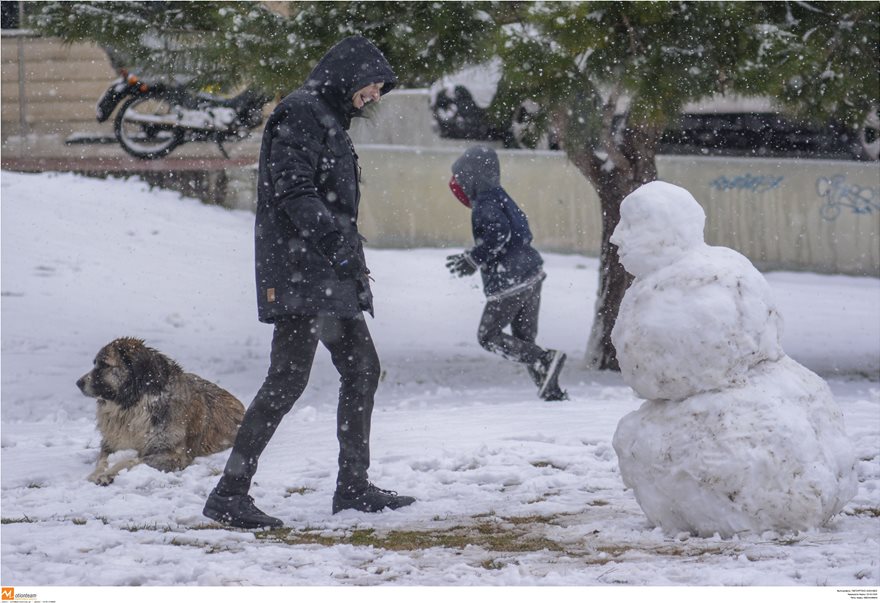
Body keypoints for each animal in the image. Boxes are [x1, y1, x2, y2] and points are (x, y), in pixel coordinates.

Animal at [77, 340, 246, 486]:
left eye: (104, 365)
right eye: (95, 363)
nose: (78, 383)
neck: (134, 407)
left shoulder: (174, 455)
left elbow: (131, 460)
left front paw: (108, 474)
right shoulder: (111, 443)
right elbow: (102, 460)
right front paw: (97, 473)